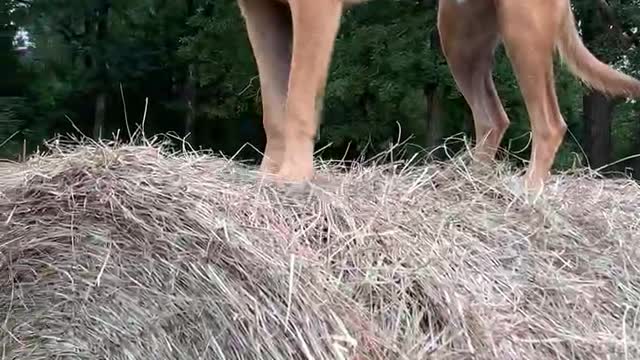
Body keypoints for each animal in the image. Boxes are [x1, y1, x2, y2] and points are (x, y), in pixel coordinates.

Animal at [236, 0, 640, 191]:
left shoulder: (314, 8)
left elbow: (298, 99)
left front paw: (293, 177)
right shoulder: (259, 12)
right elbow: (274, 107)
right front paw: (266, 175)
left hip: (521, 26)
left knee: (549, 123)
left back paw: (527, 193)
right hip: (459, 35)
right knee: (493, 117)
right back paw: (472, 183)